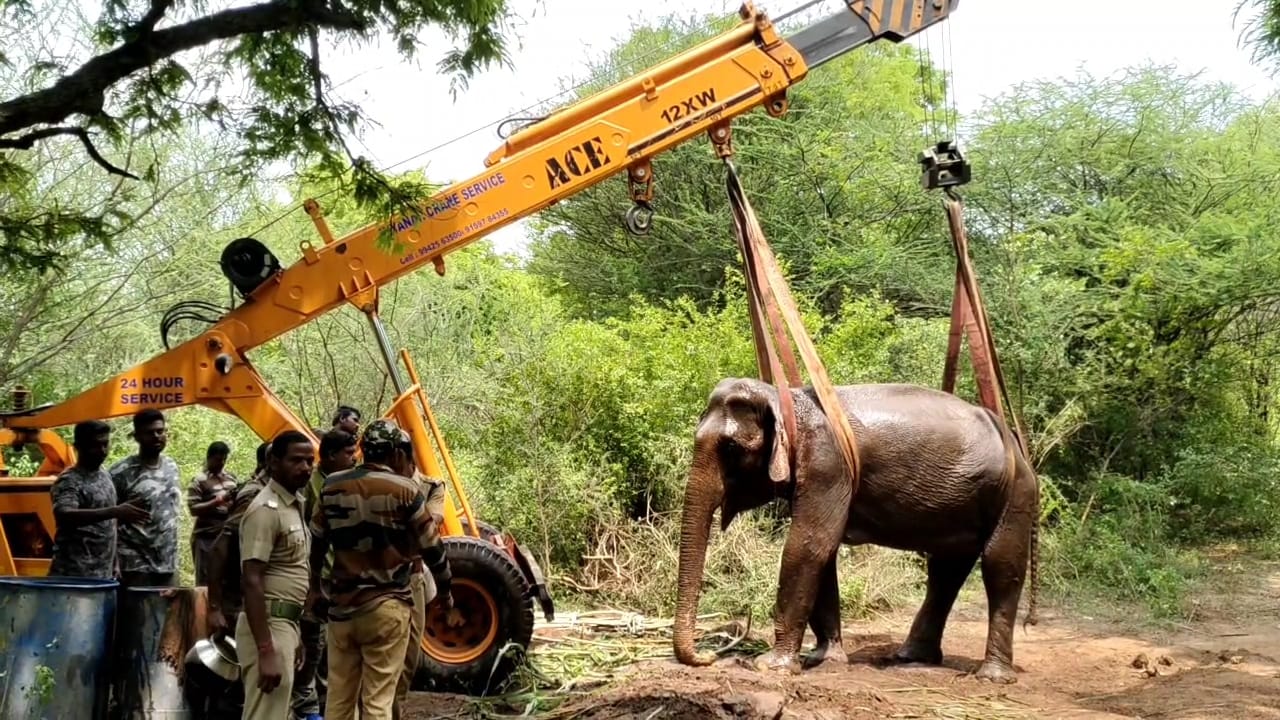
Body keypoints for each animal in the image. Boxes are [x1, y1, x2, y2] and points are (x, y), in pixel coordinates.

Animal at [675, 379, 1034, 681]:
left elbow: (807, 547)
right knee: (946, 571)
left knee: (1001, 567)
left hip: (1015, 494)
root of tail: (1014, 442)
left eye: (731, 448)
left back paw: (992, 677)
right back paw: (911, 658)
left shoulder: (827, 466)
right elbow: (823, 553)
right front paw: (823, 658)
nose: (709, 656)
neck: (787, 398)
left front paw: (770, 667)